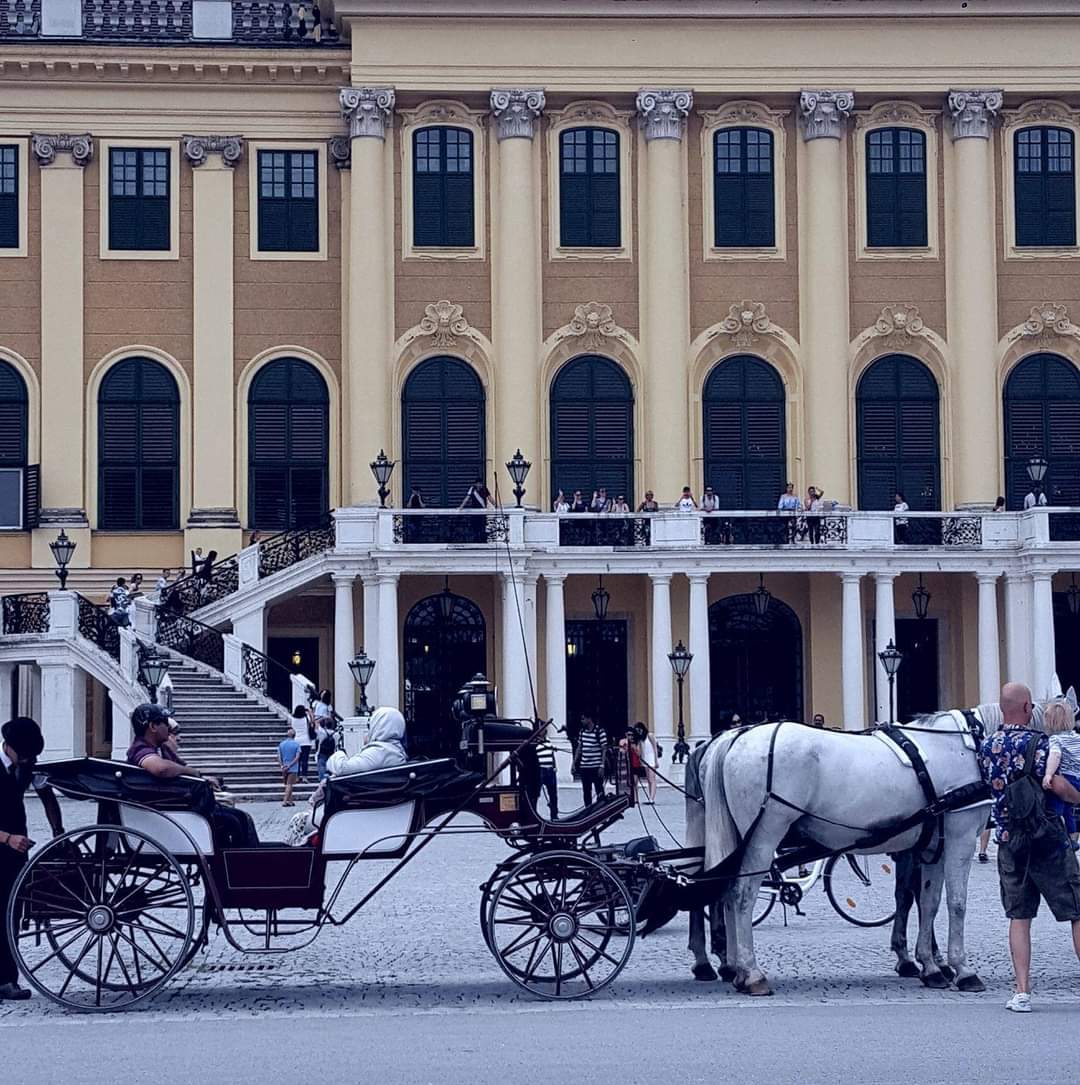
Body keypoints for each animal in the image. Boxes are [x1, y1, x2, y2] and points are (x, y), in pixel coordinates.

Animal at [690, 707, 994, 993]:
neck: (965, 746)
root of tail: (736, 739)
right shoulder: (960, 837)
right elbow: (955, 903)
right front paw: (961, 969)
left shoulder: (933, 847)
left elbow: (928, 903)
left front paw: (930, 967)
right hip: (762, 837)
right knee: (742, 896)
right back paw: (751, 973)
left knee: (725, 894)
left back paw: (733, 968)